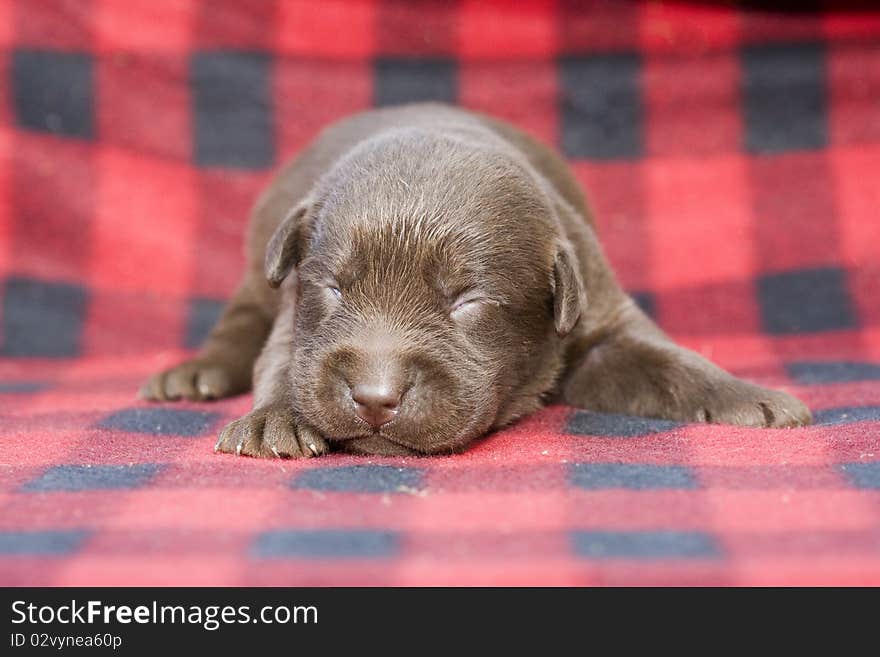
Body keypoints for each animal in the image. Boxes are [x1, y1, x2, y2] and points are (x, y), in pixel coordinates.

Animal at [139, 104, 812, 456]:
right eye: (334, 289)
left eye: (468, 301)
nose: (375, 397)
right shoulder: (294, 312)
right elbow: (283, 360)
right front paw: (275, 418)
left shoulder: (602, 318)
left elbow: (670, 363)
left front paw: (752, 396)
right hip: (261, 272)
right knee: (241, 320)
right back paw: (194, 374)